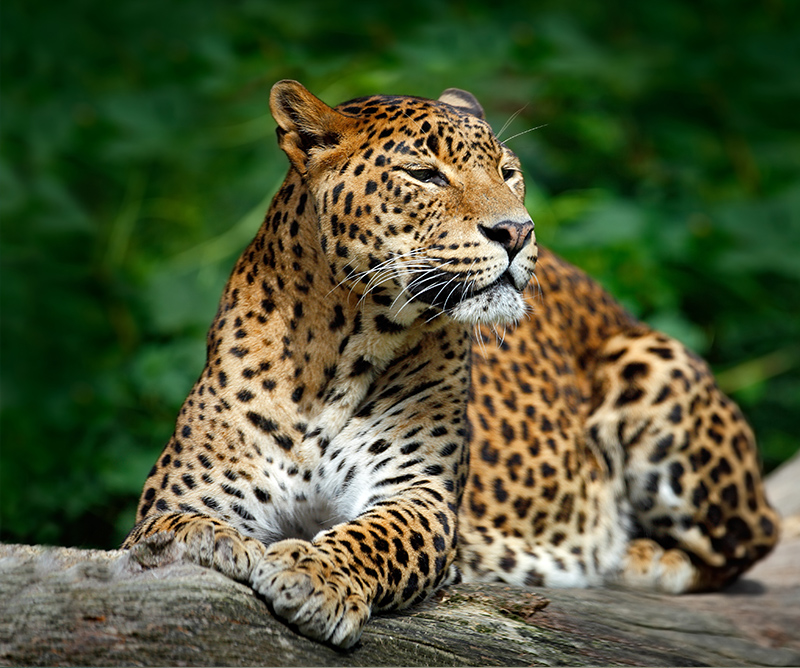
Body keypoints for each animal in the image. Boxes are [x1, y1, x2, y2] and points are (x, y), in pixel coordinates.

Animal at [123, 80, 780, 648]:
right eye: (425, 175)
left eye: (509, 173)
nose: (517, 230)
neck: (338, 352)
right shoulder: (183, 493)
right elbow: (171, 529)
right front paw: (215, 543)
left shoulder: (420, 494)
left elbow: (374, 537)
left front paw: (313, 573)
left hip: (652, 361)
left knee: (755, 535)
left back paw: (640, 556)